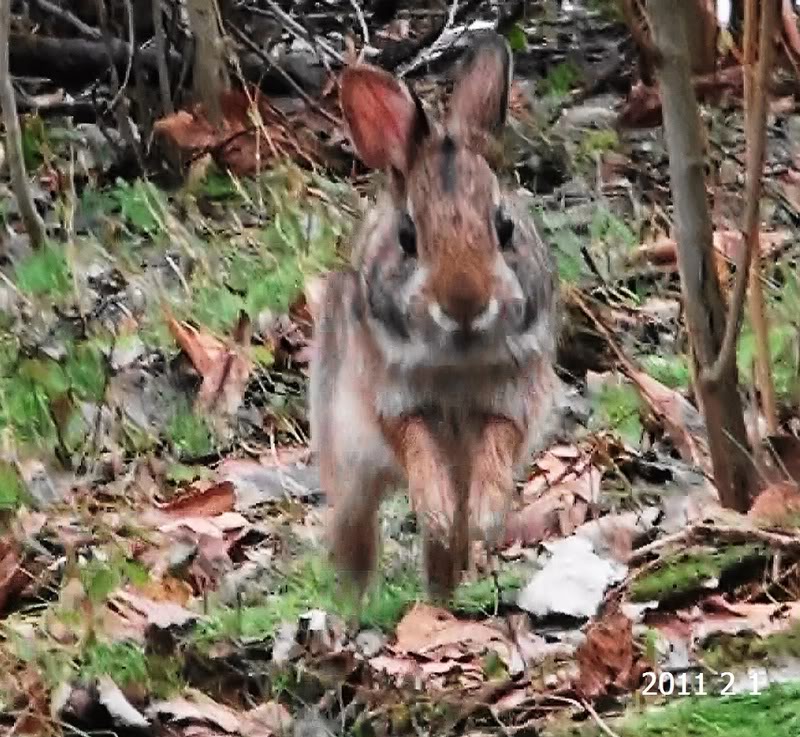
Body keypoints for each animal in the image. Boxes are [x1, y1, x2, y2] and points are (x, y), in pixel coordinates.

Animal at [309, 32, 560, 601]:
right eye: (407, 238)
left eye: (505, 227)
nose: (464, 304)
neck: (456, 361)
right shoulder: (390, 405)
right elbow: (417, 445)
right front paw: (437, 509)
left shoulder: (514, 402)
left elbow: (496, 445)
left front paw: (487, 515)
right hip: (345, 455)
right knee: (354, 524)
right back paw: (354, 595)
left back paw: (445, 590)